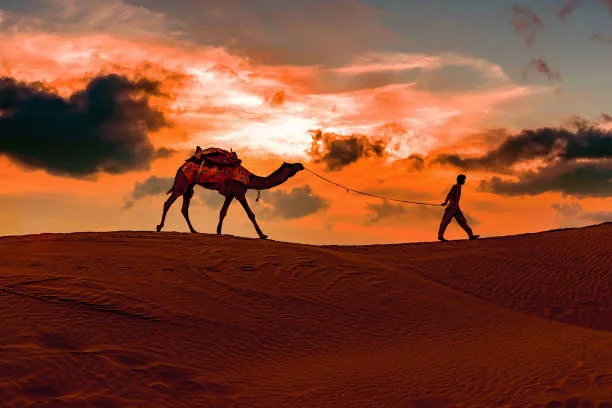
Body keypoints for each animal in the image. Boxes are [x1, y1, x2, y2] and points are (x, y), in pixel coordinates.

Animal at [155, 159, 304, 237]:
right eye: (291, 165)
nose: (301, 165)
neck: (249, 179)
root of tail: (181, 167)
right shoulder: (238, 191)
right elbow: (251, 214)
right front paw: (263, 235)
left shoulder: (231, 193)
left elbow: (223, 212)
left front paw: (218, 231)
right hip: (182, 184)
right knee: (168, 203)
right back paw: (159, 226)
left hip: (189, 186)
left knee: (184, 208)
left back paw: (194, 230)